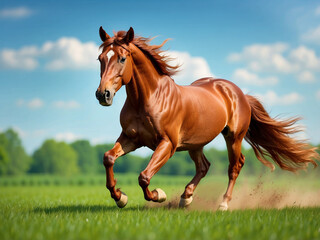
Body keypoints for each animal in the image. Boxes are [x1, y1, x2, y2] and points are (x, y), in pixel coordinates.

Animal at [94, 26, 318, 210]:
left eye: (122, 58)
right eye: (100, 59)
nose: (103, 95)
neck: (149, 98)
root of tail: (239, 93)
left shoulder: (167, 144)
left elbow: (144, 176)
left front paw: (159, 195)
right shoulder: (131, 138)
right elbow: (108, 158)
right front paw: (120, 197)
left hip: (233, 137)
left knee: (234, 166)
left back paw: (223, 204)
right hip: (195, 143)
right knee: (204, 166)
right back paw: (186, 198)